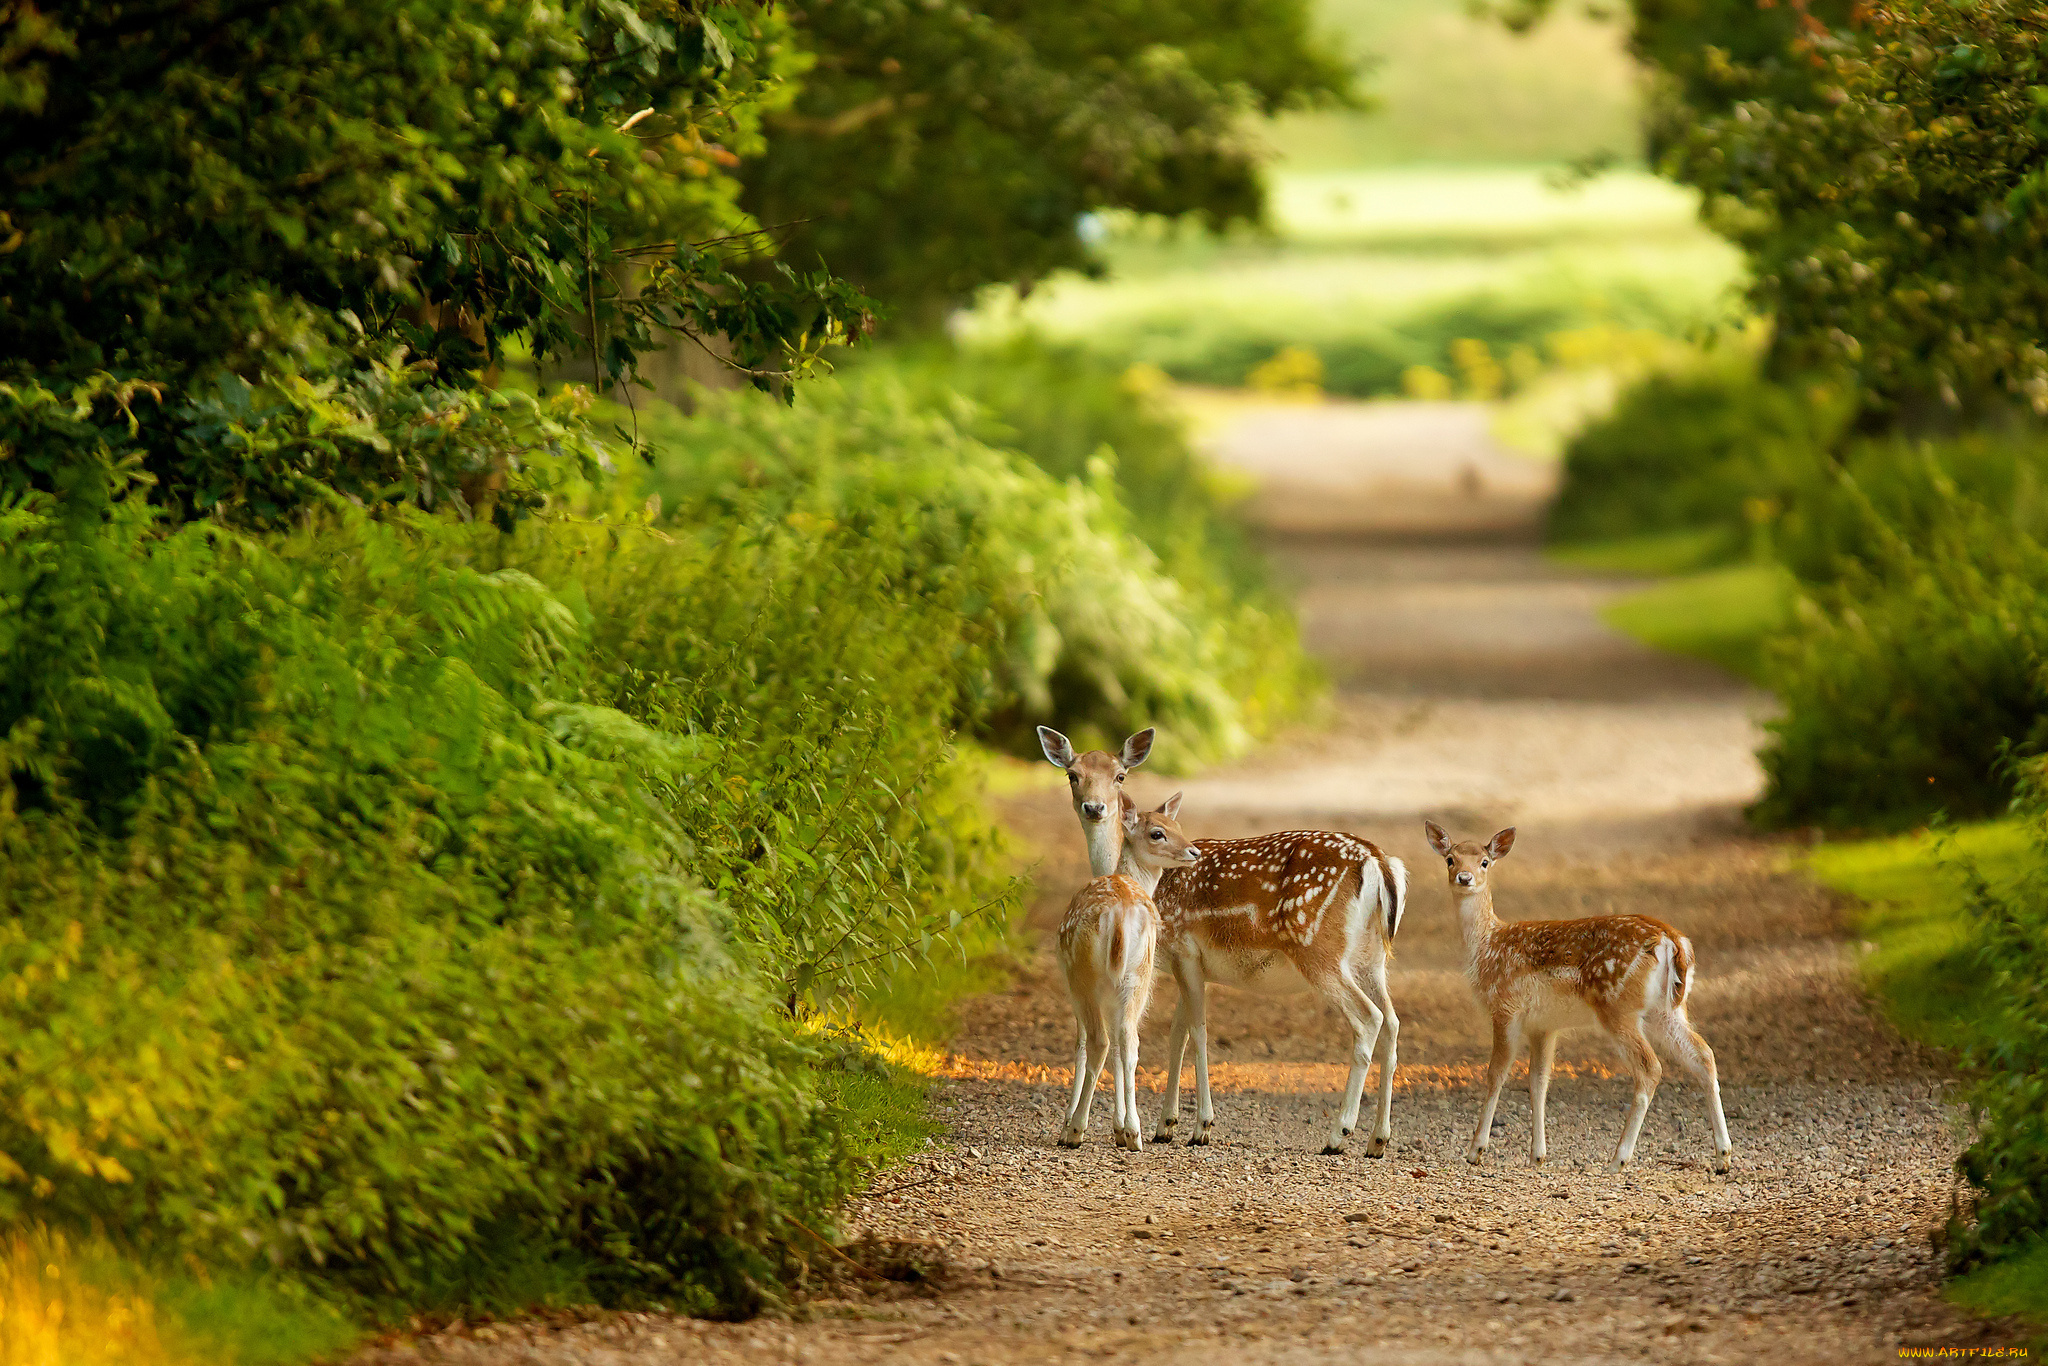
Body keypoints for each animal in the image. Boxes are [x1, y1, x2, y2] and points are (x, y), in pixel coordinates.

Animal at [1057, 791, 1201, 1150]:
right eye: (1158, 832)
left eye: (1178, 826)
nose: (1194, 851)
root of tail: (1120, 914)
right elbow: (1123, 1051)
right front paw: (1120, 1128)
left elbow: (1082, 1046)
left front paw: (1072, 1125)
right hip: (1139, 974)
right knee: (1129, 1042)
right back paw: (1135, 1132)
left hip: (1085, 976)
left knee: (1099, 1041)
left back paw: (1076, 1130)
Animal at [1422, 821, 1732, 1174]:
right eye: (1450, 859)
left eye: (1485, 862)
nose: (1465, 877)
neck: (1486, 946)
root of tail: (1673, 941)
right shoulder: (1544, 1025)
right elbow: (1538, 1081)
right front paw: (1538, 1156)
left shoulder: (1505, 1007)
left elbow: (1496, 1074)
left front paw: (1475, 1150)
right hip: (1667, 1009)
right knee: (1704, 1055)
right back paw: (1723, 1156)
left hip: (1616, 1005)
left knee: (1650, 1067)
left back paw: (1618, 1159)